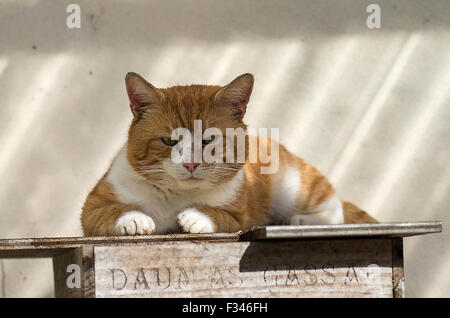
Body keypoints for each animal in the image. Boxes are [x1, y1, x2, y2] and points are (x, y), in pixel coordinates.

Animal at [80, 72, 376, 236]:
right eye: (169, 140)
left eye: (209, 139)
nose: (191, 163)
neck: (176, 197)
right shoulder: (91, 208)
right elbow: (111, 211)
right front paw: (135, 218)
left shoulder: (240, 217)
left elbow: (218, 215)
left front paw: (196, 217)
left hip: (292, 188)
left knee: (334, 209)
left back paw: (297, 220)